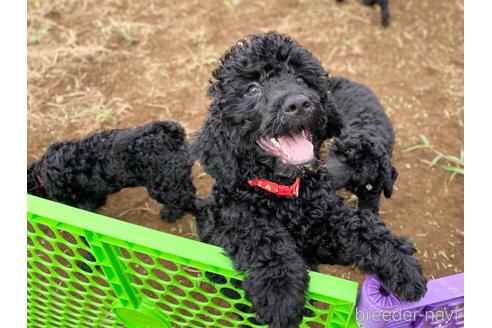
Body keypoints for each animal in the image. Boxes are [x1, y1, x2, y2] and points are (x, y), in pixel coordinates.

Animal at [27, 119, 198, 222]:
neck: (41, 177)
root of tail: (171, 136)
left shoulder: (78, 203)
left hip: (164, 187)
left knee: (189, 201)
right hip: (175, 180)